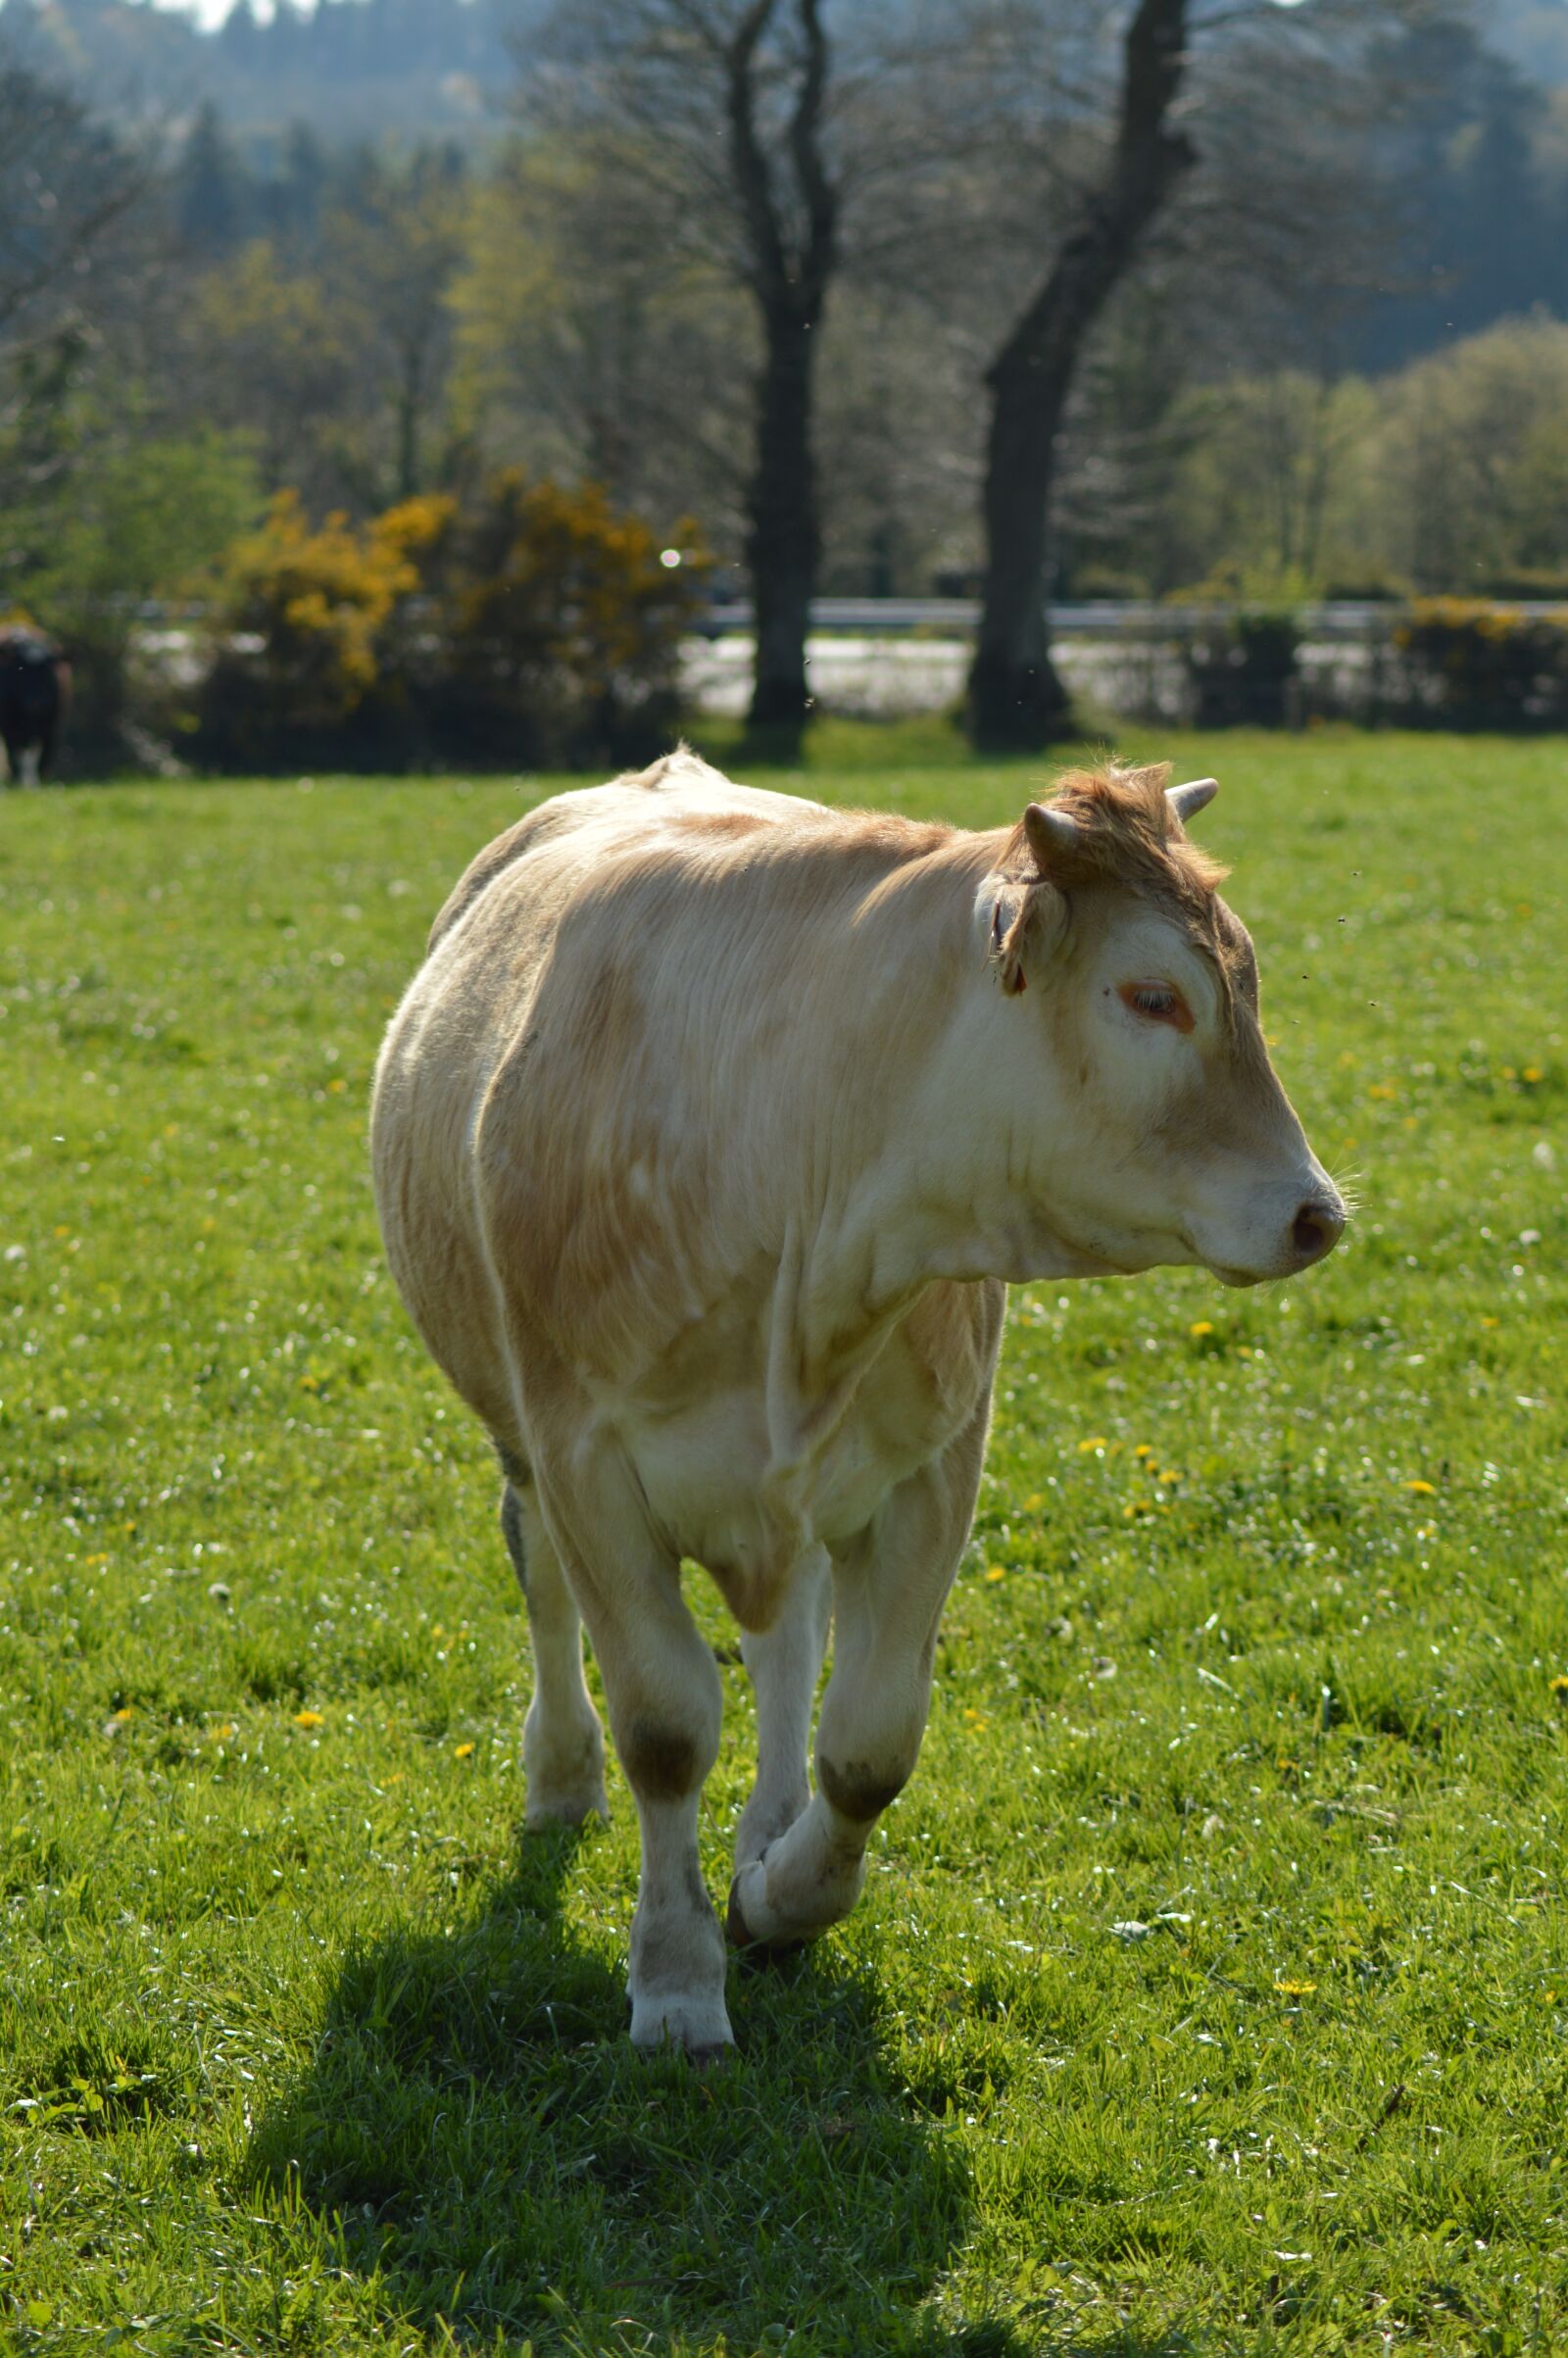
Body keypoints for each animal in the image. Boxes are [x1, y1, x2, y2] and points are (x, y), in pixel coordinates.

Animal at [0, 627, 69, 786]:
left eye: (48, 670)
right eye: (21, 670)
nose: (38, 702)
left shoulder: (52, 726)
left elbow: (40, 754)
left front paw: (39, 783)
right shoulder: (9, 726)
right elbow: (16, 753)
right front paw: (20, 782)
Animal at [370, 750, 1345, 2059]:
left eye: (1243, 982)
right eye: (1152, 997)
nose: (1315, 1213)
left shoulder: (933, 1466)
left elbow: (870, 1743)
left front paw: (778, 1899)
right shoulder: (587, 1461)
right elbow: (665, 1728)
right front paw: (675, 1983)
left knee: (788, 1633)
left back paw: (767, 1824)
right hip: (519, 1435)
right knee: (543, 1582)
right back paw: (561, 1777)